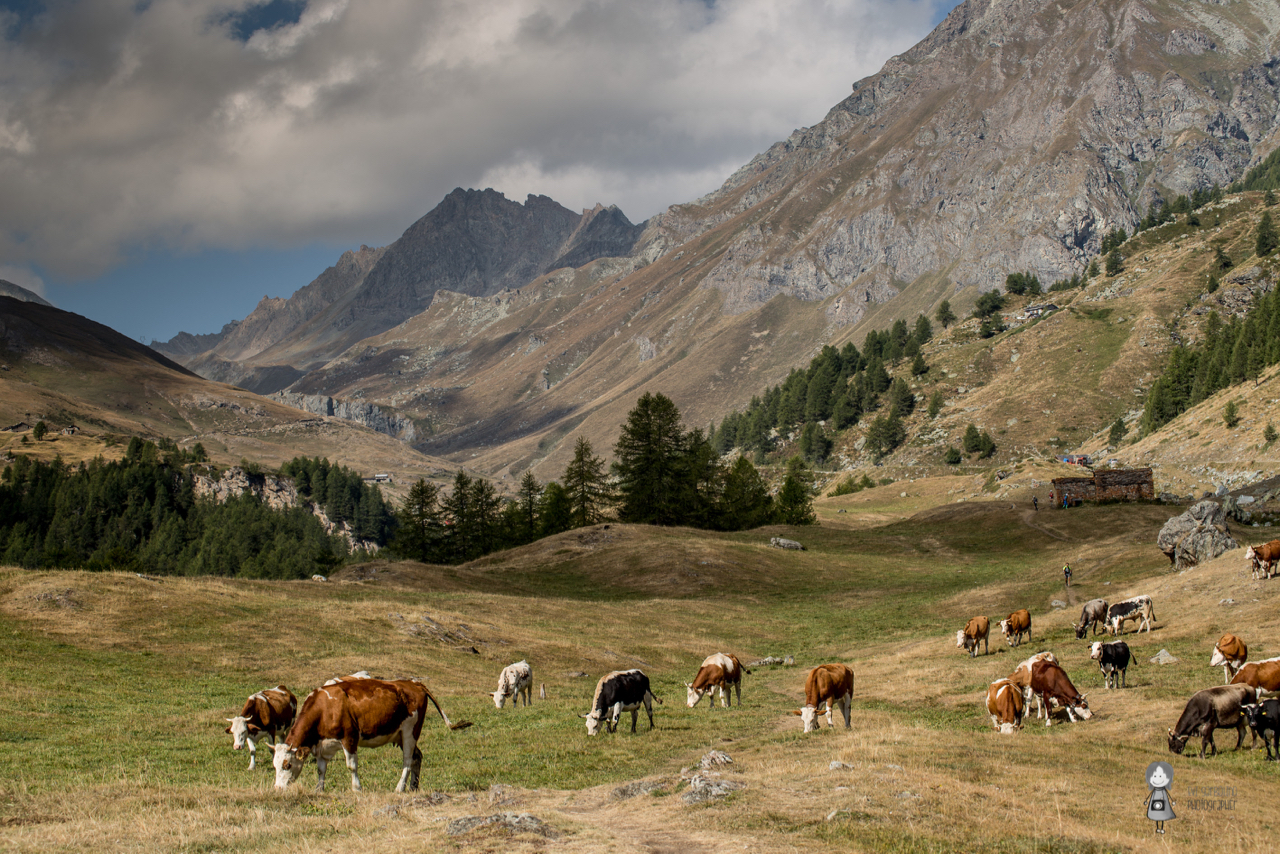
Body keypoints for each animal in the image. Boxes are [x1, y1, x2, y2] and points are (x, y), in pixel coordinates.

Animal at [272, 677, 465, 792]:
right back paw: (413, 787)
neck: (325, 708)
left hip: (410, 731)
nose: (278, 789)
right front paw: (319, 790)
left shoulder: (349, 737)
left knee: (408, 761)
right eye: (275, 766)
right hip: (401, 735)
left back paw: (399, 788)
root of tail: (413, 682)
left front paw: (356, 788)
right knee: (417, 757)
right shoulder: (323, 745)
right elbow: (321, 769)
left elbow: (351, 766)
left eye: (287, 765)